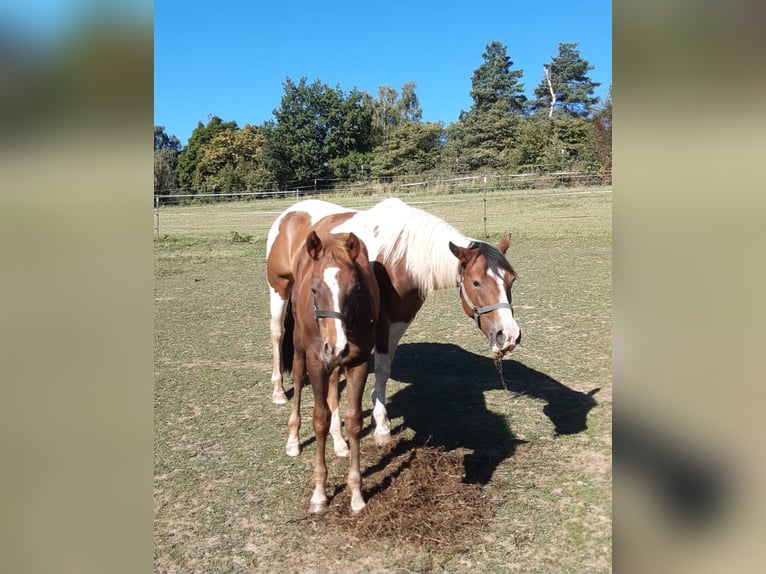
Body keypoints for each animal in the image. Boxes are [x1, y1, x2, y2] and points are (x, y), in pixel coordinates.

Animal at [266, 197, 521, 447]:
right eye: (476, 282)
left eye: (511, 279)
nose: (508, 335)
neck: (401, 256)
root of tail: (289, 214)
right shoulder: (379, 323)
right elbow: (376, 369)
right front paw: (380, 426)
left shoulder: (399, 321)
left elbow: (385, 368)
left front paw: (378, 413)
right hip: (280, 290)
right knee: (278, 333)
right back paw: (278, 391)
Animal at [284, 230, 379, 513]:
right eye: (315, 289)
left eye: (356, 288)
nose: (335, 346)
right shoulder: (317, 362)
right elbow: (320, 419)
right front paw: (319, 493)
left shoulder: (358, 361)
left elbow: (355, 421)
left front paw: (356, 493)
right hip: (300, 346)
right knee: (297, 375)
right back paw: (293, 439)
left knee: (335, 384)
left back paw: (338, 442)